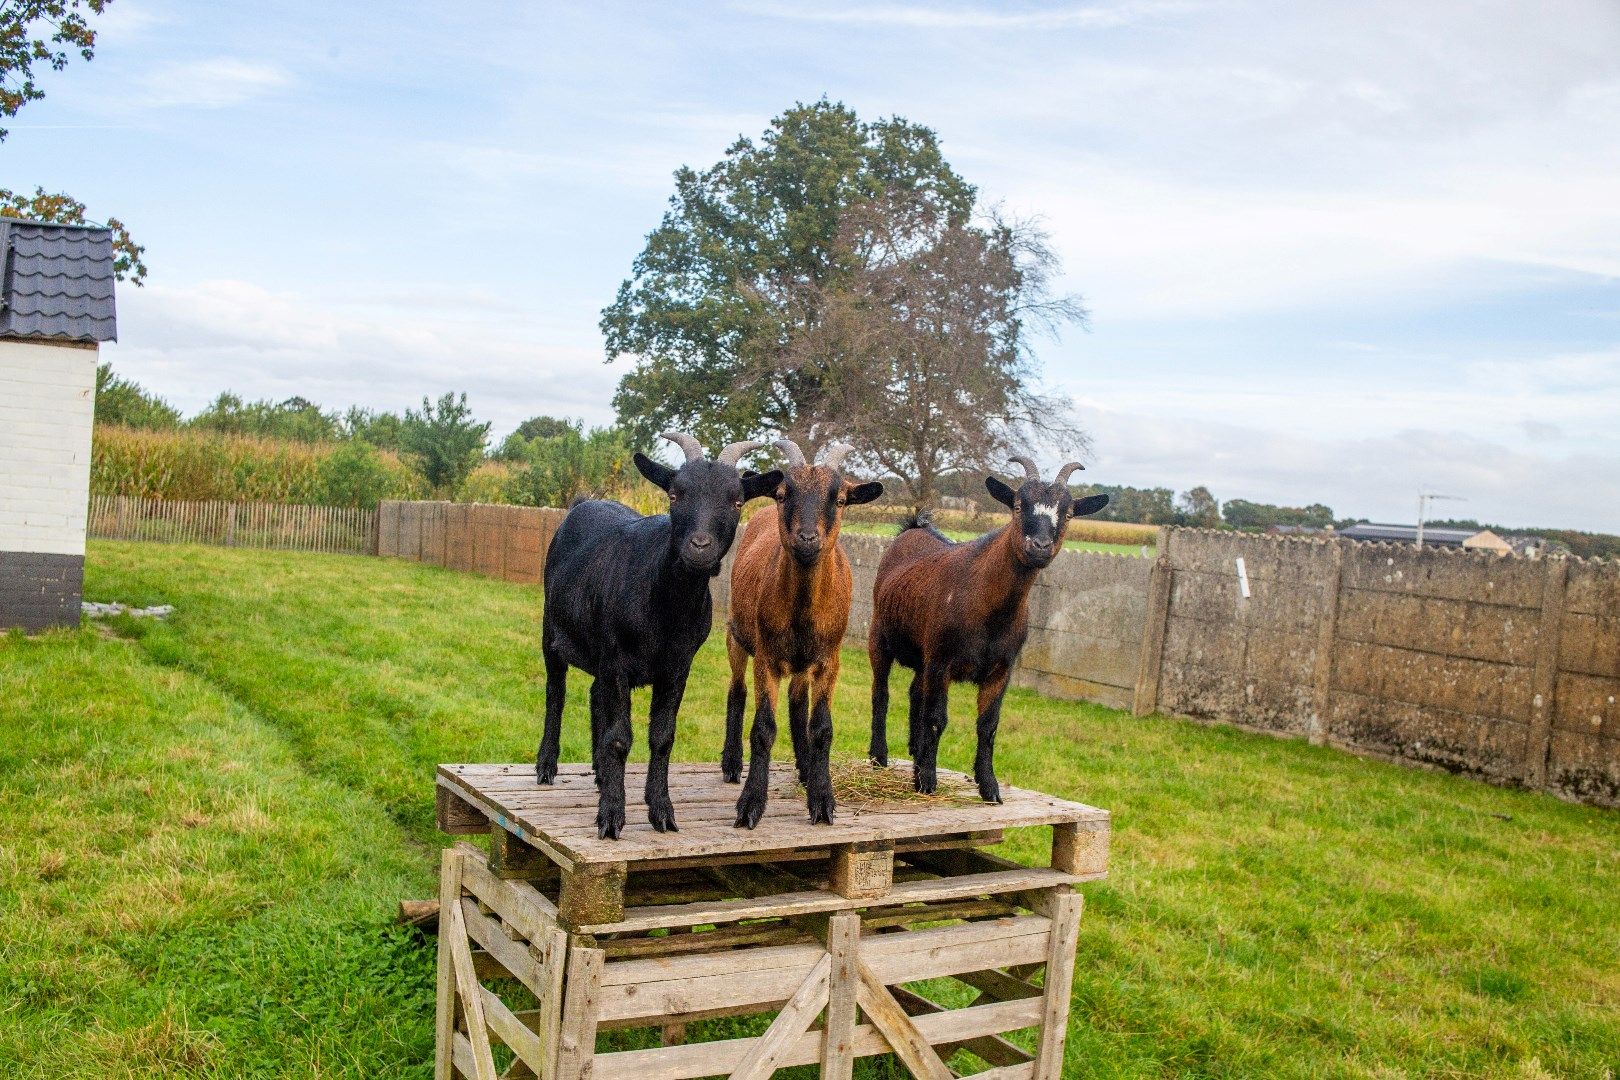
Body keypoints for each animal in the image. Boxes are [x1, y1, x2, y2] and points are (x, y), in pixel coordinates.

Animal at [534, 433, 780, 841]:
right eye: (675, 495)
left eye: (737, 500)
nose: (700, 546)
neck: (664, 609)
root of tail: (582, 502)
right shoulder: (616, 659)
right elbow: (619, 737)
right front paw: (611, 818)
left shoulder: (677, 666)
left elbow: (662, 736)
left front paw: (662, 811)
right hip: (551, 631)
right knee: (556, 694)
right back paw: (546, 766)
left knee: (594, 695)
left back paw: (600, 773)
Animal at [725, 440, 887, 829]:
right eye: (784, 494)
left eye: (840, 500)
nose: (808, 539)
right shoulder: (766, 658)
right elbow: (763, 728)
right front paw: (750, 804)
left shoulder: (829, 661)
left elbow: (821, 728)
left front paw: (822, 799)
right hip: (736, 635)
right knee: (737, 691)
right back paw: (731, 763)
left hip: (802, 662)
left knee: (797, 703)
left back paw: (804, 767)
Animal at [868, 456, 1108, 803]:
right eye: (1018, 505)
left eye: (1069, 513)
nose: (1040, 546)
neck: (990, 613)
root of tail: (914, 527)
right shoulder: (941, 661)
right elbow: (936, 719)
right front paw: (928, 781)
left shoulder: (1000, 669)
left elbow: (988, 725)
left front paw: (989, 787)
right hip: (879, 636)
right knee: (881, 692)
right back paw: (879, 756)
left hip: (923, 656)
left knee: (915, 693)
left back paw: (914, 754)